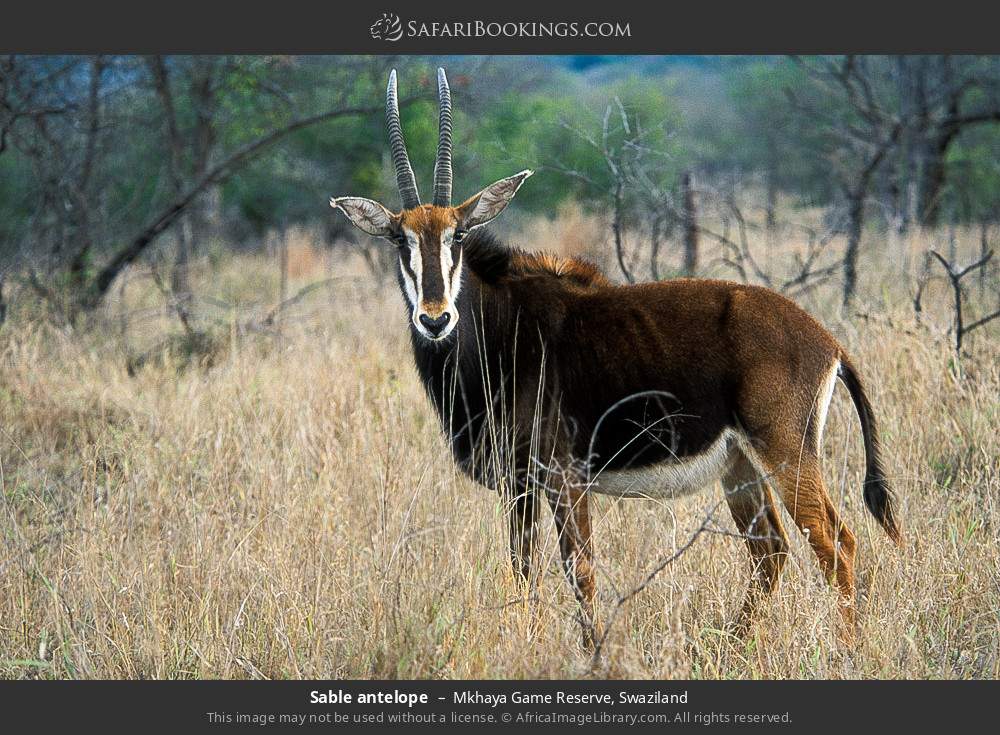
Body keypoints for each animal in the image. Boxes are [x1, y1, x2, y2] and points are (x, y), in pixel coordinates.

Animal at [331, 68, 901, 649]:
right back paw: (733, 648)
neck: (500, 332)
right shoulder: (520, 485)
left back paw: (846, 650)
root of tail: (827, 341)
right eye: (398, 239)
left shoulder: (565, 477)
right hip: (740, 466)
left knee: (835, 543)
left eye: (459, 235)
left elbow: (579, 571)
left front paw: (592, 651)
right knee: (770, 551)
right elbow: (522, 570)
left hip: (785, 452)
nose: (435, 318)